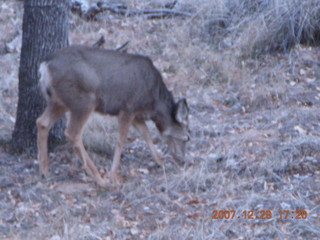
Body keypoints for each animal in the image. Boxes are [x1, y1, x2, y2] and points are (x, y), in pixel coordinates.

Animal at [36, 45, 189, 188]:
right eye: (186, 138)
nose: (183, 160)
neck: (153, 102)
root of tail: (45, 65)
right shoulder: (128, 108)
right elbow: (121, 141)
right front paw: (113, 177)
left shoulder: (136, 114)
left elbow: (146, 134)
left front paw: (160, 161)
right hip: (84, 101)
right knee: (73, 133)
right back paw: (99, 179)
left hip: (58, 101)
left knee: (42, 122)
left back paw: (45, 172)